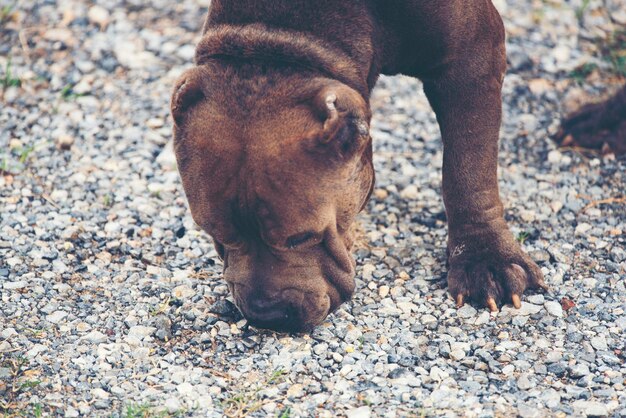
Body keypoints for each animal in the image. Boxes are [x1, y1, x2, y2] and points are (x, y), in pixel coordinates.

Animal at [169, 0, 544, 334]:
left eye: (302, 237)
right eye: (215, 234)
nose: (267, 315)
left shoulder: (473, 54)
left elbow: (468, 164)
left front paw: (487, 259)